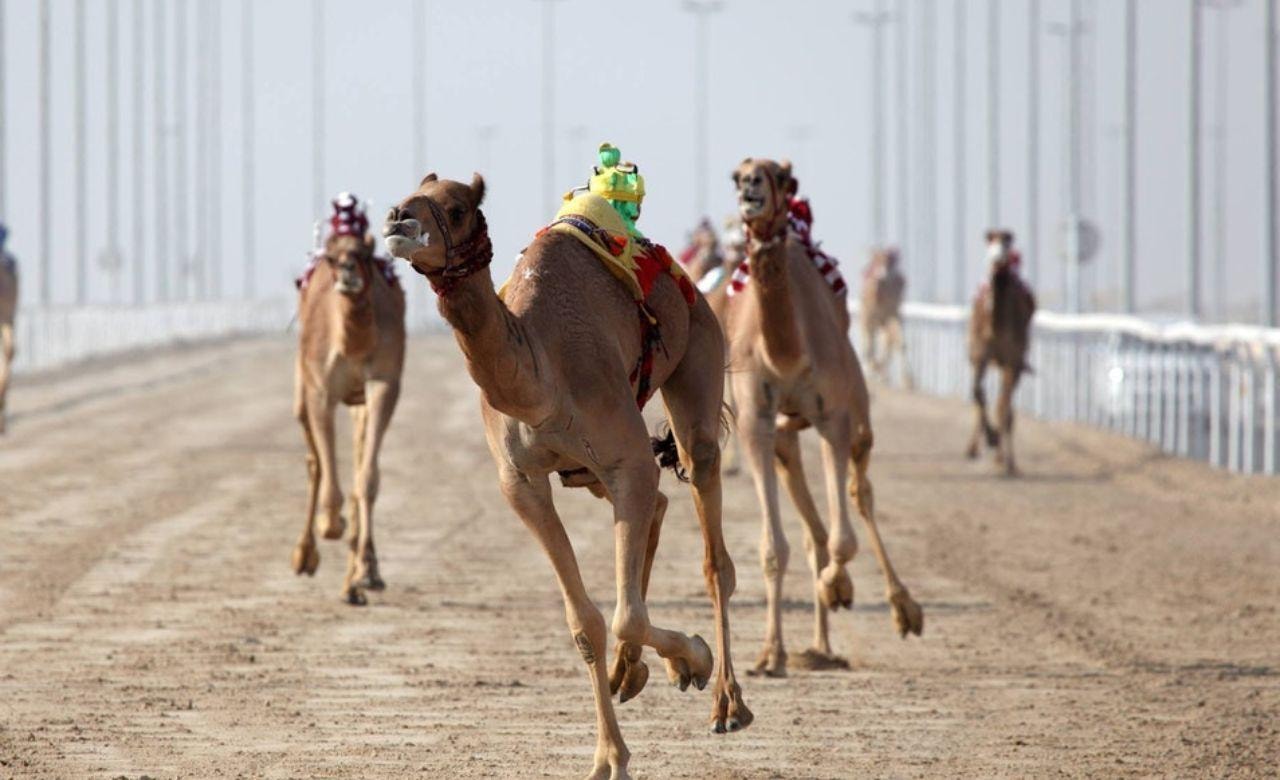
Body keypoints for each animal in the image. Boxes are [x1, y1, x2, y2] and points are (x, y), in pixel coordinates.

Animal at [292, 194, 406, 605]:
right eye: (330, 255)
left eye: (365, 251)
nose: (346, 271)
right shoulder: (319, 388)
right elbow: (327, 471)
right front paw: (330, 523)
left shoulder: (384, 383)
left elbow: (367, 478)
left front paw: (367, 574)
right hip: (301, 387)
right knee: (313, 461)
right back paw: (304, 555)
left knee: (357, 462)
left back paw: (354, 580)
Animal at [384, 172, 750, 780]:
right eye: (411, 191)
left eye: (456, 208)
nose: (396, 219)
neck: (540, 378)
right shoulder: (521, 484)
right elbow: (586, 622)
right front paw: (609, 755)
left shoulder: (624, 456)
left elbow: (625, 615)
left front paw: (695, 658)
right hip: (589, 471)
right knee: (657, 508)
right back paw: (634, 672)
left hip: (698, 350)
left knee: (711, 540)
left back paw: (725, 700)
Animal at [859, 246, 913, 388]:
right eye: (876, 261)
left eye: (890, 262)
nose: (881, 276)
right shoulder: (867, 316)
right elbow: (868, 347)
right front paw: (874, 370)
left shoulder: (893, 313)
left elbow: (900, 343)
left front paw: (908, 381)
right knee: (872, 343)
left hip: (887, 319)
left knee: (888, 343)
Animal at [966, 229, 1035, 475]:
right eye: (989, 242)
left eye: (1007, 243)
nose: (997, 261)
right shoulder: (980, 354)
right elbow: (977, 391)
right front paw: (990, 438)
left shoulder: (1013, 360)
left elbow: (1004, 407)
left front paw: (1004, 457)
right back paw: (974, 448)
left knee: (1005, 405)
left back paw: (1006, 460)